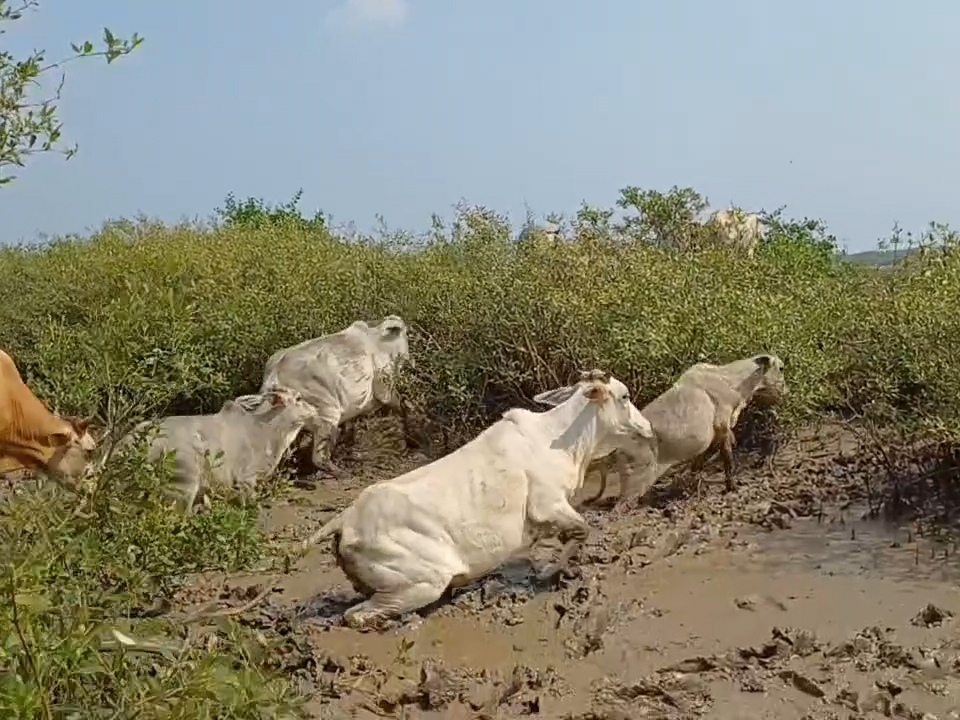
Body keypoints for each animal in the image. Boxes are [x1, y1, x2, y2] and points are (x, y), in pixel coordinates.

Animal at [259, 315, 412, 480]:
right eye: (405, 332)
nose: (409, 357)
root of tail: (273, 377)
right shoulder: (384, 384)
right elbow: (399, 403)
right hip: (327, 413)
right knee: (319, 457)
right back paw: (342, 473)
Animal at [300, 370, 654, 630]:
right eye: (624, 396)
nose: (648, 427)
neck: (561, 441)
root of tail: (347, 519)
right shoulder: (547, 505)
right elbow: (582, 531)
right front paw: (548, 571)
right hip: (423, 582)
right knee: (356, 616)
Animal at [534, 355, 787, 505]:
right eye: (781, 368)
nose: (785, 390)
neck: (733, 382)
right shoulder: (723, 425)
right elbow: (727, 458)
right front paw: (731, 487)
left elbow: (702, 460)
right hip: (636, 480)